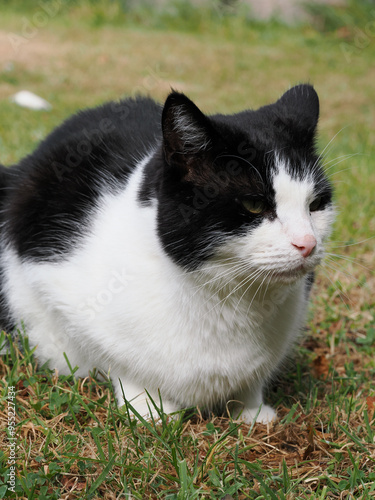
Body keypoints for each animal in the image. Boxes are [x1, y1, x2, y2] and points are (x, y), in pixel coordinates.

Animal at [0, 83, 334, 422]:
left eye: (316, 204)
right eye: (254, 204)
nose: (307, 243)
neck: (230, 300)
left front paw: (251, 411)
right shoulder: (53, 277)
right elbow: (116, 359)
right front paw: (149, 409)